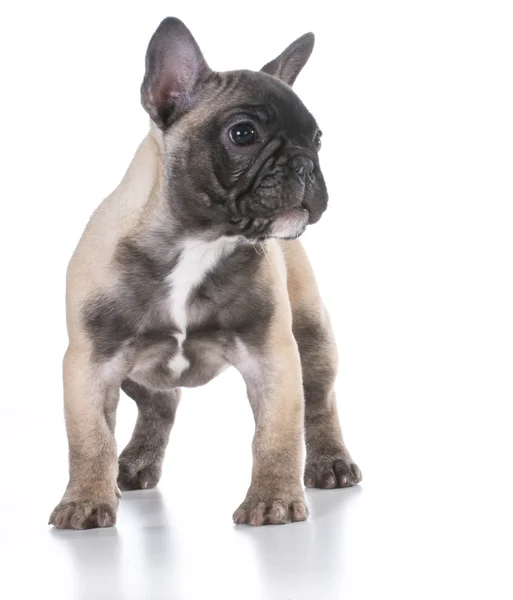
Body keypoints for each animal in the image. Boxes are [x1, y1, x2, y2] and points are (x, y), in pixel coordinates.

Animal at [48, 16, 360, 528]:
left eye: (317, 139)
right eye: (243, 134)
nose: (304, 164)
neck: (199, 241)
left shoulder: (273, 356)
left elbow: (277, 434)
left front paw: (272, 499)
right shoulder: (90, 364)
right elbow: (90, 438)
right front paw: (86, 500)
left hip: (312, 336)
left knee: (319, 402)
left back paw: (330, 463)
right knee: (160, 403)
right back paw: (133, 462)